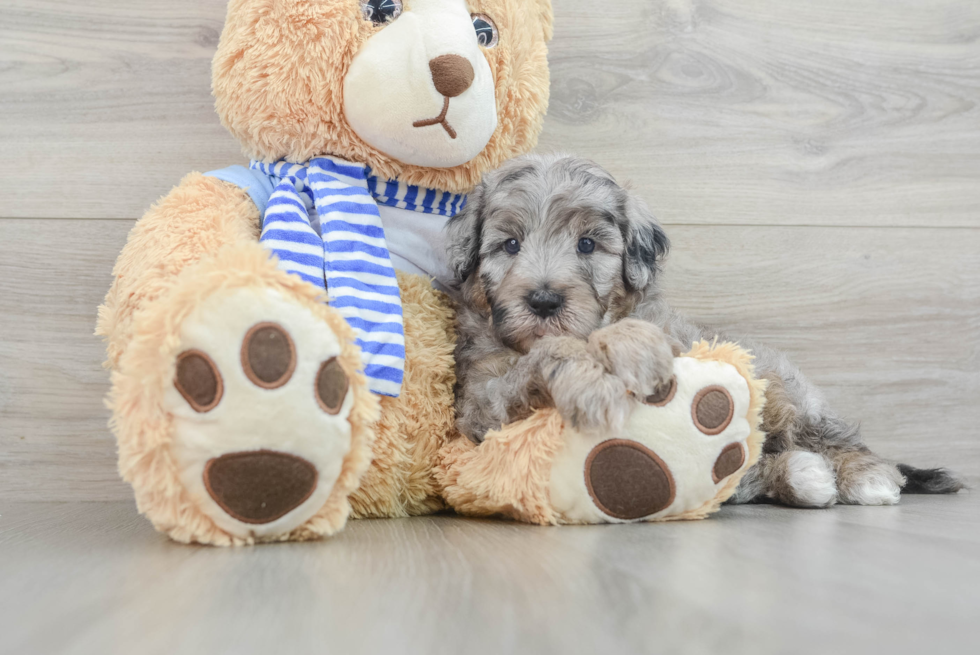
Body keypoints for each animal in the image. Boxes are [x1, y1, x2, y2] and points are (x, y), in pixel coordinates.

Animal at [446, 154, 964, 508]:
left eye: (587, 245)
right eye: (510, 245)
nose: (543, 300)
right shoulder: (483, 405)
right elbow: (541, 363)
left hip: (785, 393)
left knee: (831, 438)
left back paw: (867, 478)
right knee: (755, 469)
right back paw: (805, 478)